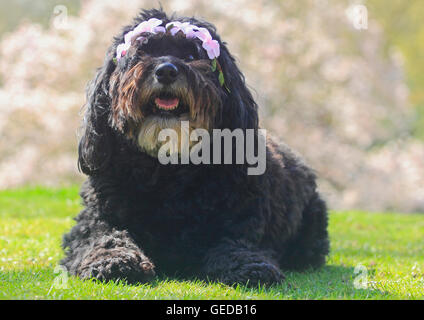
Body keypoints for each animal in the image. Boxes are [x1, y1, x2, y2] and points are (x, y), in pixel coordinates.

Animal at [61, 8, 330, 286]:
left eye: (191, 55)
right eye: (143, 53)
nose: (166, 71)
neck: (167, 168)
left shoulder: (239, 220)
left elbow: (235, 243)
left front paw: (250, 265)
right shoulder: (93, 221)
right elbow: (104, 236)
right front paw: (112, 260)